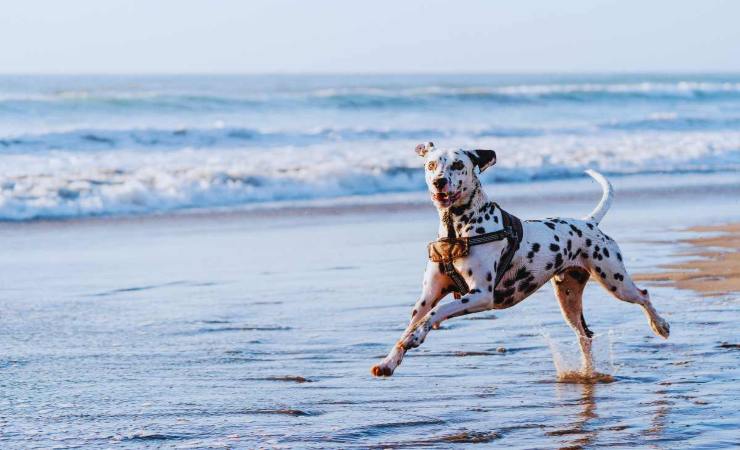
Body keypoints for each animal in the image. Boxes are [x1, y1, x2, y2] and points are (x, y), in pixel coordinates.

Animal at [370, 142, 672, 378]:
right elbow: (411, 324)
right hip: (569, 298)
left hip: (615, 281)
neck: (457, 230)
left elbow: (436, 314)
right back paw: (587, 372)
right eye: (431, 165)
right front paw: (389, 361)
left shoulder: (481, 295)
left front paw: (417, 336)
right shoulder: (427, 296)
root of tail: (588, 223)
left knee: (643, 295)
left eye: (457, 164)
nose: (439, 181)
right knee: (585, 335)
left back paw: (660, 326)